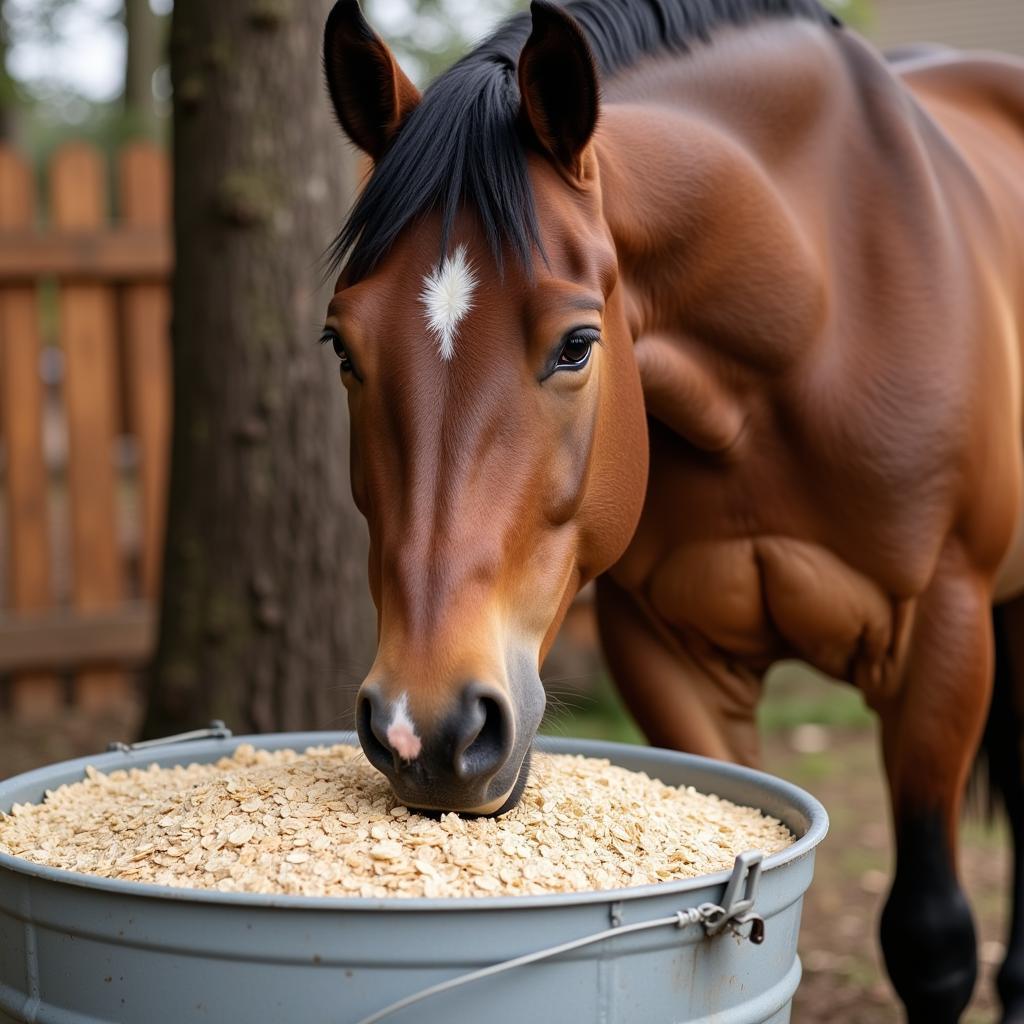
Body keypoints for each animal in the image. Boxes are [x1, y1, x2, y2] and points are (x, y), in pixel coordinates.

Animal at [319, 4, 1024, 1019]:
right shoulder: (668, 654)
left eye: (577, 344)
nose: (429, 728)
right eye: (343, 347)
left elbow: (932, 941)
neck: (814, 301)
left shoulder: (946, 635)